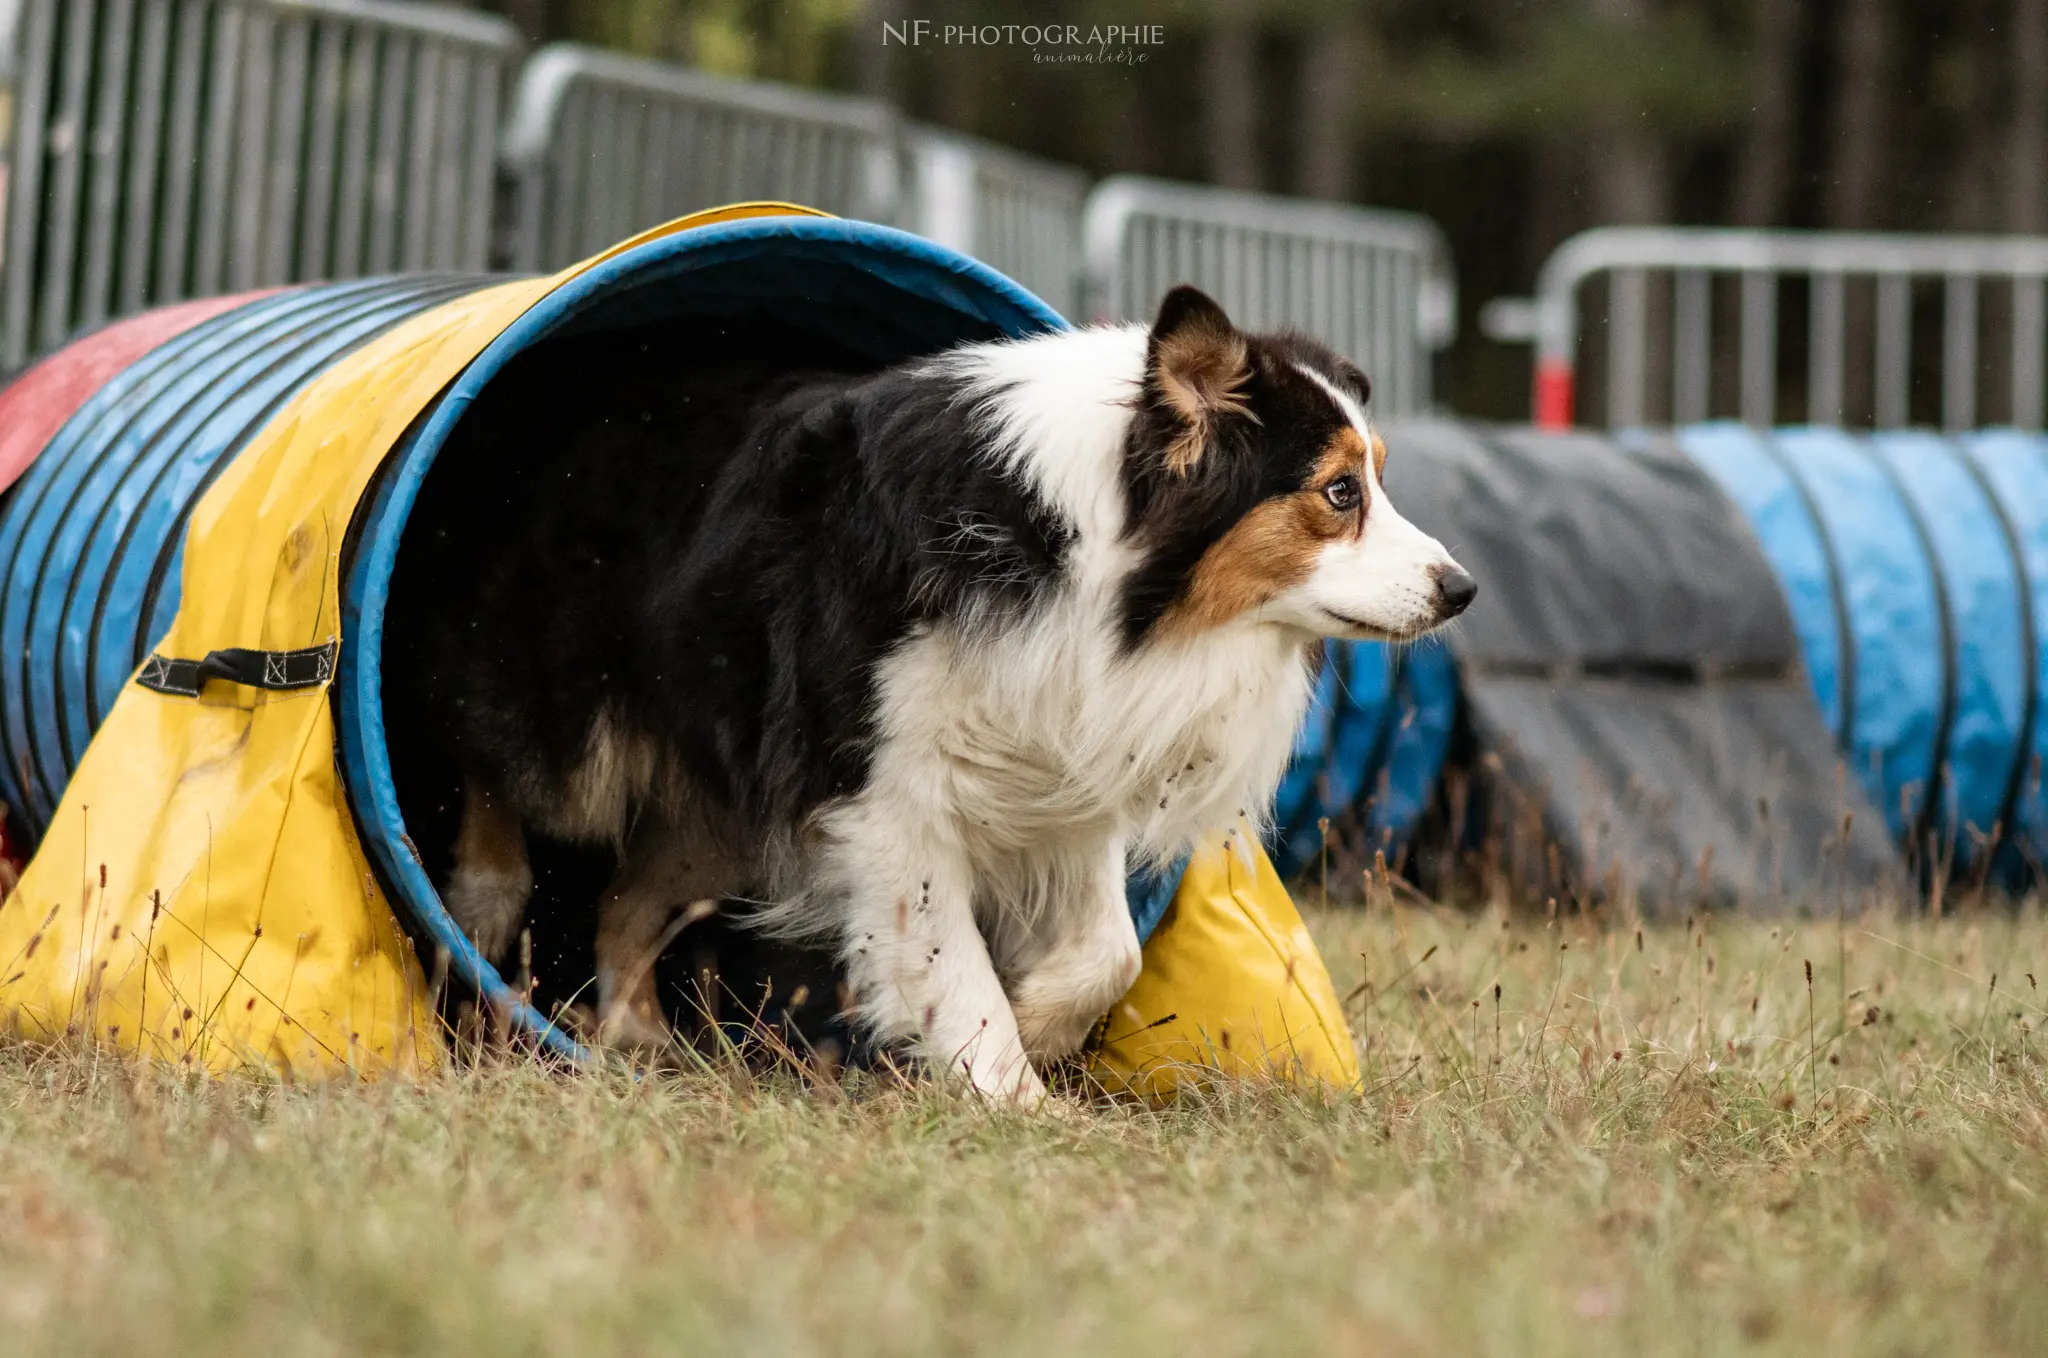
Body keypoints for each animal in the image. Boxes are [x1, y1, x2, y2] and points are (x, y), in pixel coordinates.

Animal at [385, 286, 1474, 1106]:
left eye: (1376, 478)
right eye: (1339, 492)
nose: (1459, 588)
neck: (1082, 553)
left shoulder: (1061, 760)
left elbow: (1110, 949)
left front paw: (1040, 1019)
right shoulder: (882, 795)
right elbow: (949, 953)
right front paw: (1011, 1087)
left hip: (727, 807)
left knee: (622, 901)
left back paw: (636, 1039)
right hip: (579, 726)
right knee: (495, 764)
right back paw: (483, 899)